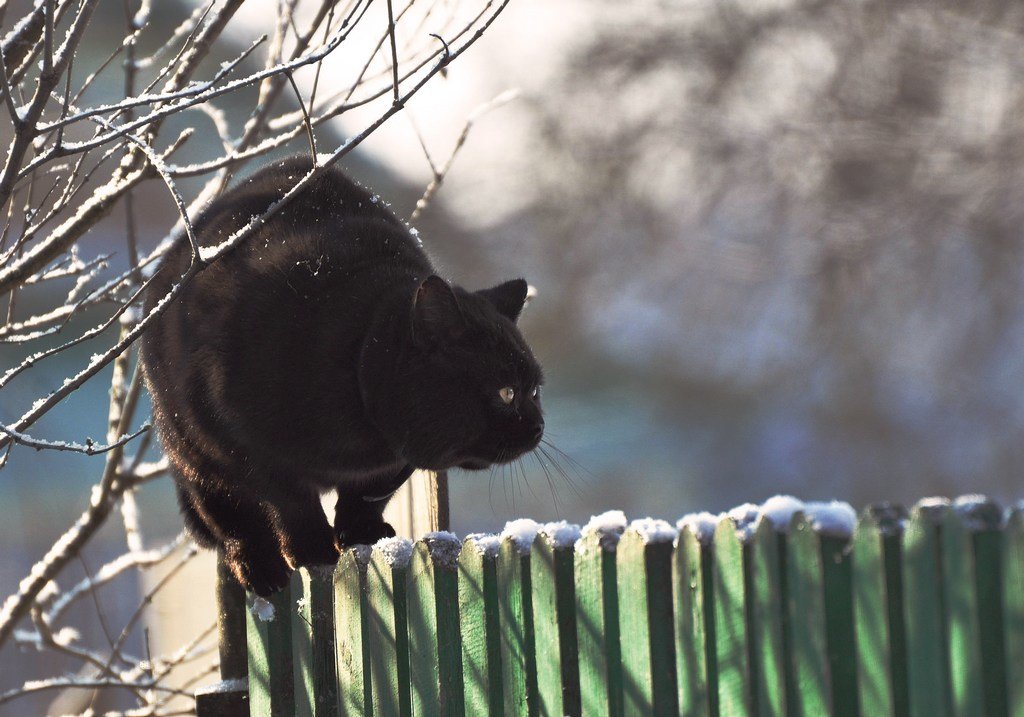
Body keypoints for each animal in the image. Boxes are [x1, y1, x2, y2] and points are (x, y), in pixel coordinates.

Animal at [144, 155, 548, 594]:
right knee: (230, 516)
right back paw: (258, 565)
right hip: (195, 451)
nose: (539, 425)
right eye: (507, 393)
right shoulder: (253, 450)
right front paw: (312, 550)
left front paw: (360, 533)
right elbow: (292, 503)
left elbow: (368, 494)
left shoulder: (392, 462)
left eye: (535, 391)